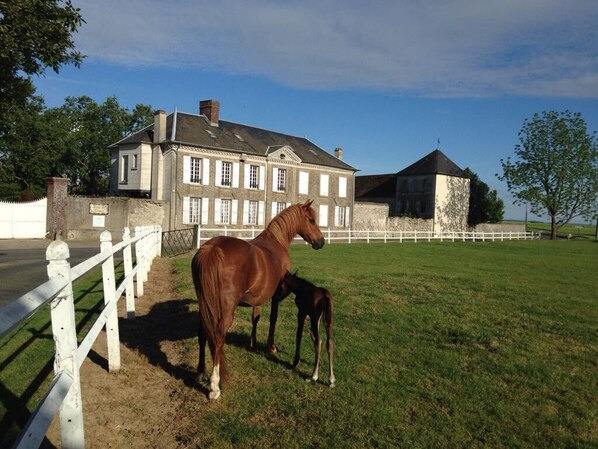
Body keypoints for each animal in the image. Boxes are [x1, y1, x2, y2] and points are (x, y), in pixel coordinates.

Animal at [192, 200, 326, 400]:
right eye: (311, 220)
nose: (321, 242)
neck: (276, 243)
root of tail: (212, 249)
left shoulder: (256, 298)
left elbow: (255, 318)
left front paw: (252, 344)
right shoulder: (276, 295)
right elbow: (273, 319)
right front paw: (271, 347)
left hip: (205, 306)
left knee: (203, 333)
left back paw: (201, 372)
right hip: (225, 311)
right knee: (217, 337)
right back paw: (214, 386)